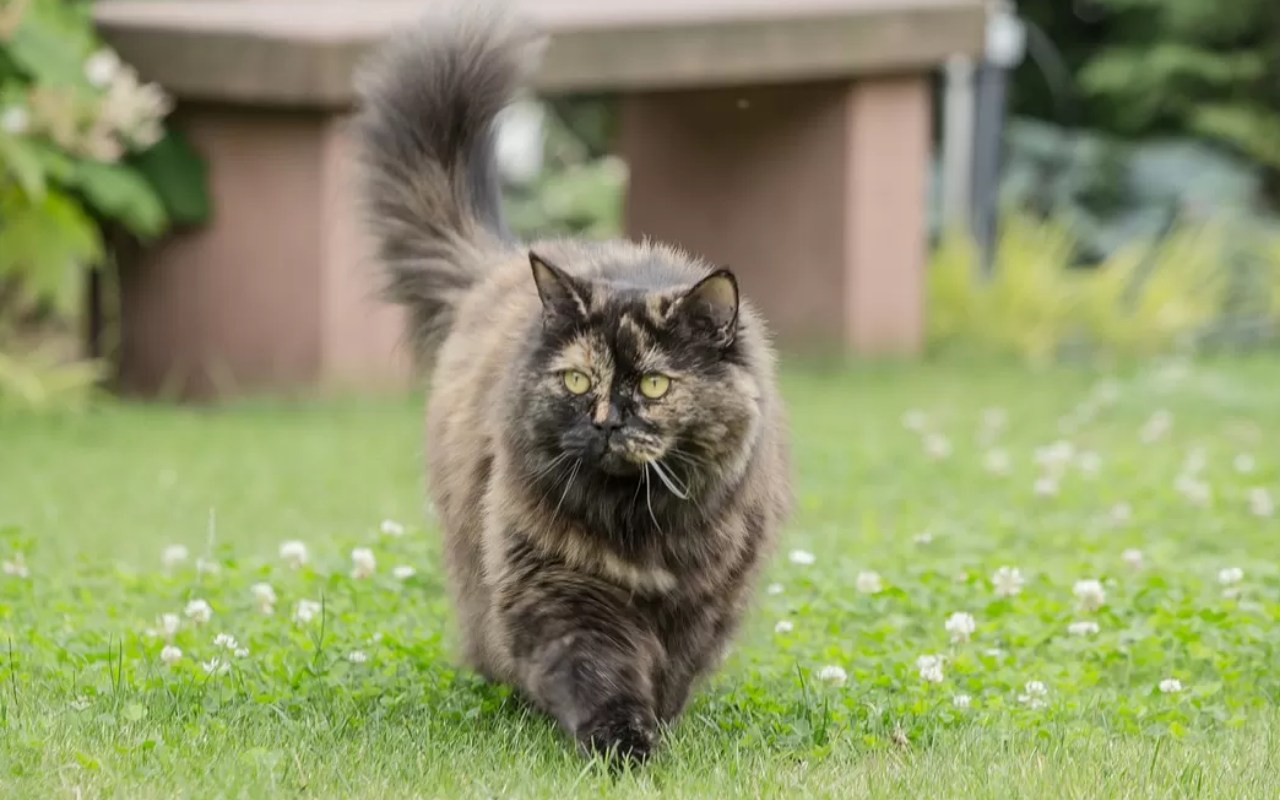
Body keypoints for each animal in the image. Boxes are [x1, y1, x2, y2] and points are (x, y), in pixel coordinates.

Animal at [353, 0, 788, 762]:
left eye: (654, 386)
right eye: (580, 380)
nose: (607, 421)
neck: (641, 527)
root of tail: (500, 266)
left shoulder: (705, 601)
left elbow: (672, 670)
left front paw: (656, 725)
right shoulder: (559, 587)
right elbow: (598, 667)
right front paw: (622, 741)